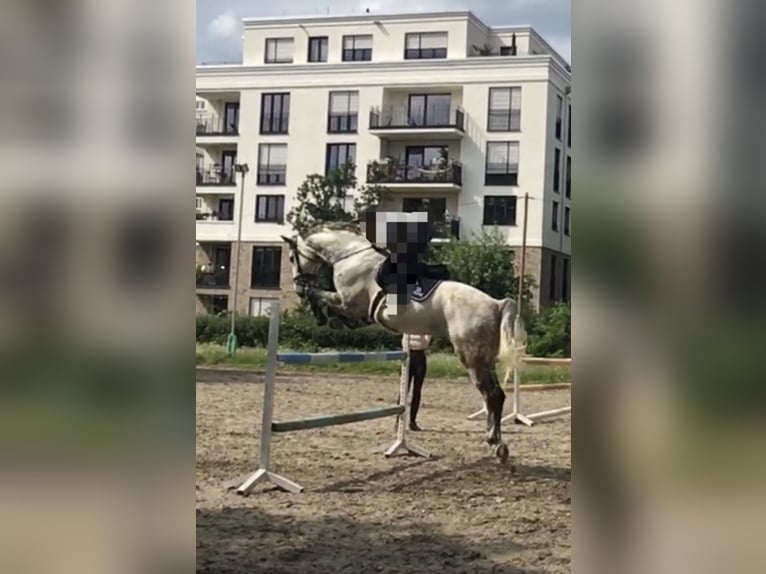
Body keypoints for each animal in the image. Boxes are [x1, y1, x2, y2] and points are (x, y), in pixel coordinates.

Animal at [281, 222, 526, 464]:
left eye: (292, 258)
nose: (295, 286)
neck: (351, 256)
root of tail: (496, 303)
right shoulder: (354, 310)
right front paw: (326, 318)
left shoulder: (347, 303)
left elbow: (316, 294)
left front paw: (321, 316)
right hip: (485, 359)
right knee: (497, 396)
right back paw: (496, 444)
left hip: (472, 358)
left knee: (491, 395)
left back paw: (496, 444)